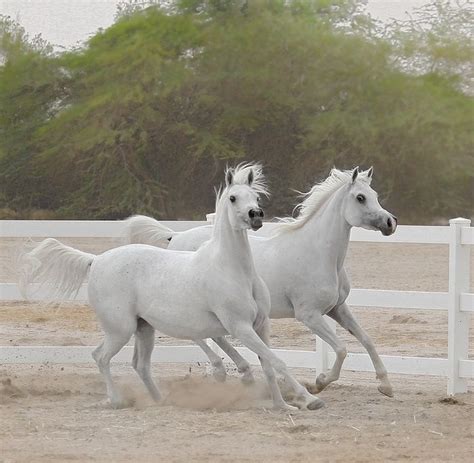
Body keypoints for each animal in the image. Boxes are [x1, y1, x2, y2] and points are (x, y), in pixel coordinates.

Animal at [20, 165, 324, 412]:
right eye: (233, 198)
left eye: (257, 197)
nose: (256, 216)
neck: (233, 270)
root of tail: (95, 260)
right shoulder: (241, 327)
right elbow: (278, 361)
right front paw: (311, 400)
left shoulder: (260, 326)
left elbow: (269, 365)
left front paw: (283, 405)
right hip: (120, 329)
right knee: (101, 357)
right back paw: (117, 400)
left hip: (144, 329)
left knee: (140, 365)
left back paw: (160, 401)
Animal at [124, 169, 398, 396]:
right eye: (360, 197)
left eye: (374, 195)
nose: (390, 222)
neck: (319, 254)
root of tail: (176, 236)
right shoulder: (309, 315)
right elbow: (341, 348)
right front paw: (319, 383)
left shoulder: (337, 308)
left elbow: (366, 339)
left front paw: (385, 386)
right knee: (198, 335)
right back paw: (226, 371)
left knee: (211, 335)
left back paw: (241, 371)